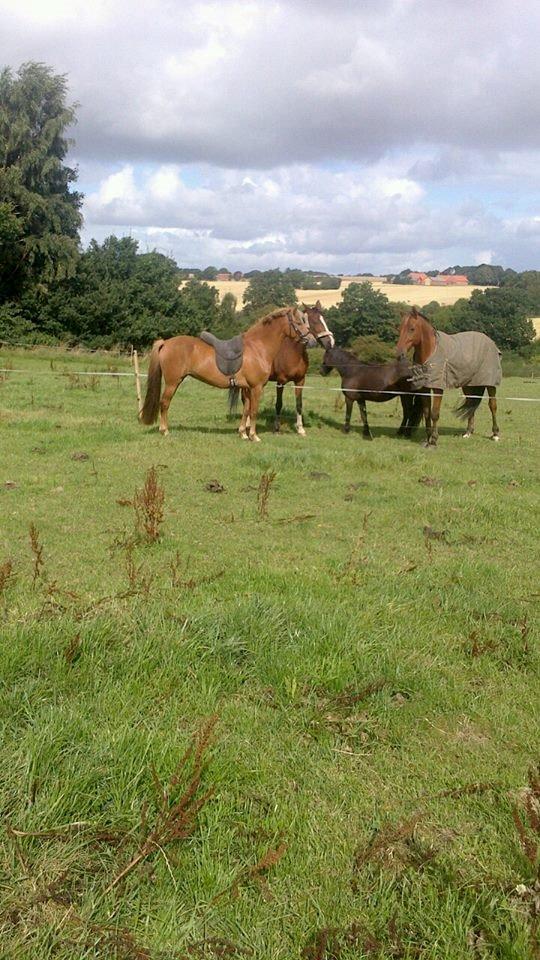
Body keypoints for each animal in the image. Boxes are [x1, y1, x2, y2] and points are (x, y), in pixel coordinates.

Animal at [139, 306, 314, 440]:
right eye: (299, 322)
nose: (311, 340)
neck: (258, 347)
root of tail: (165, 342)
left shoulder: (247, 388)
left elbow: (246, 410)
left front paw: (243, 433)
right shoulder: (256, 387)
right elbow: (254, 411)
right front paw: (254, 436)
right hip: (172, 382)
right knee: (164, 403)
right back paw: (165, 431)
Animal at [268, 300, 334, 436]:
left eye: (323, 319)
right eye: (314, 321)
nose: (330, 342)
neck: (293, 353)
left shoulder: (300, 381)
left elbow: (299, 404)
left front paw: (300, 429)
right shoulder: (280, 382)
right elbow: (278, 404)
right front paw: (276, 428)